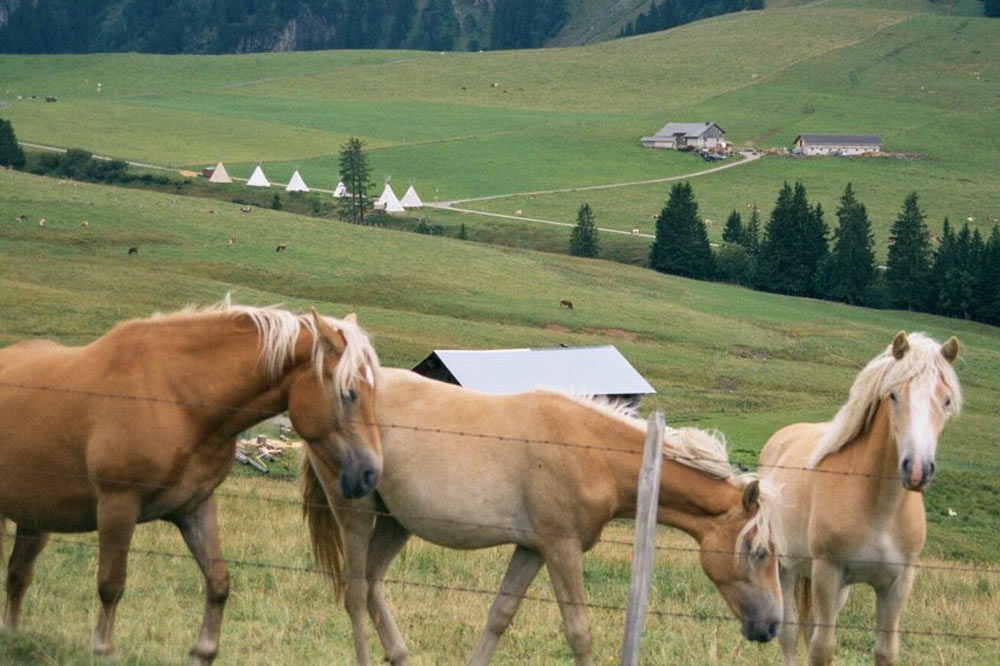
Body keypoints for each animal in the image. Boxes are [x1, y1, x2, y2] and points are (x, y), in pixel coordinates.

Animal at [0, 298, 382, 660]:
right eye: (349, 393)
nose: (371, 474)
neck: (176, 399)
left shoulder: (195, 506)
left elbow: (218, 581)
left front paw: (204, 651)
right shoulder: (117, 505)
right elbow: (111, 582)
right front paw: (102, 648)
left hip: (35, 518)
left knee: (19, 574)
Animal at [300, 368, 784, 664]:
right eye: (758, 551)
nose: (772, 625)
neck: (592, 452)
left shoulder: (531, 549)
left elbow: (499, 616)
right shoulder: (561, 549)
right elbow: (579, 630)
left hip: (395, 522)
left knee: (371, 583)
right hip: (356, 514)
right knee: (355, 591)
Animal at [760, 330, 964, 660]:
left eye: (946, 400)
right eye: (893, 395)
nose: (917, 470)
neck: (880, 509)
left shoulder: (897, 584)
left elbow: (885, 650)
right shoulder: (827, 573)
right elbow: (822, 647)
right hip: (785, 566)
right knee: (789, 634)